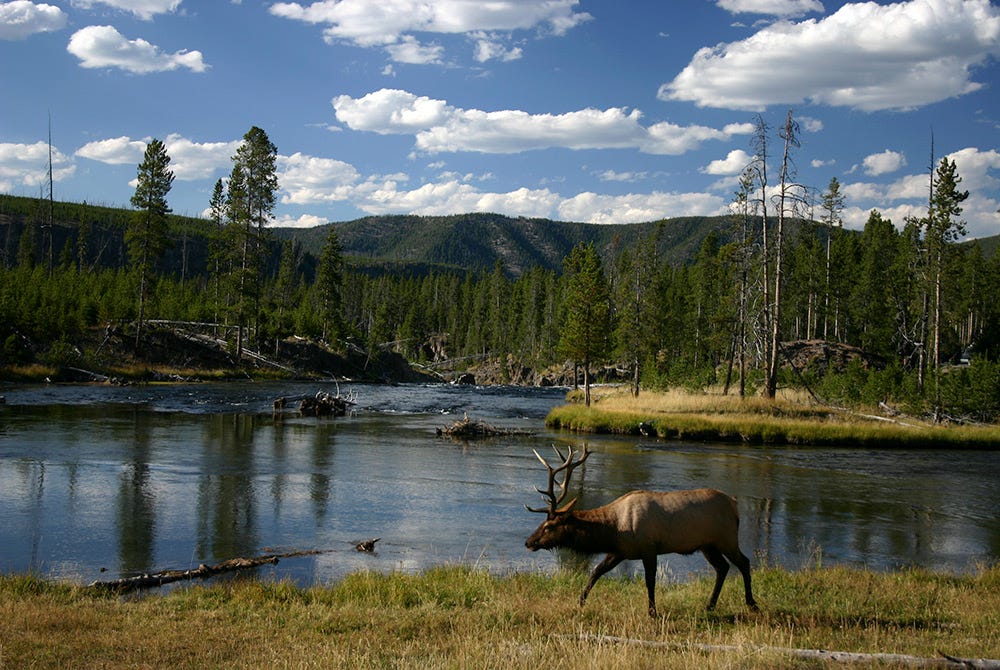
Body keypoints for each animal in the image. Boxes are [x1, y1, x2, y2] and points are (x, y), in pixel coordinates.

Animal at [528, 446, 752, 620]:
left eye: (548, 526)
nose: (529, 542)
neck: (614, 529)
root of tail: (735, 504)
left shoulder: (648, 548)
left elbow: (649, 581)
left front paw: (653, 612)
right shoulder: (620, 551)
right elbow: (595, 572)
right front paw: (580, 602)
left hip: (727, 539)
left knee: (743, 562)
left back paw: (751, 603)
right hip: (707, 545)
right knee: (722, 568)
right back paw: (710, 605)